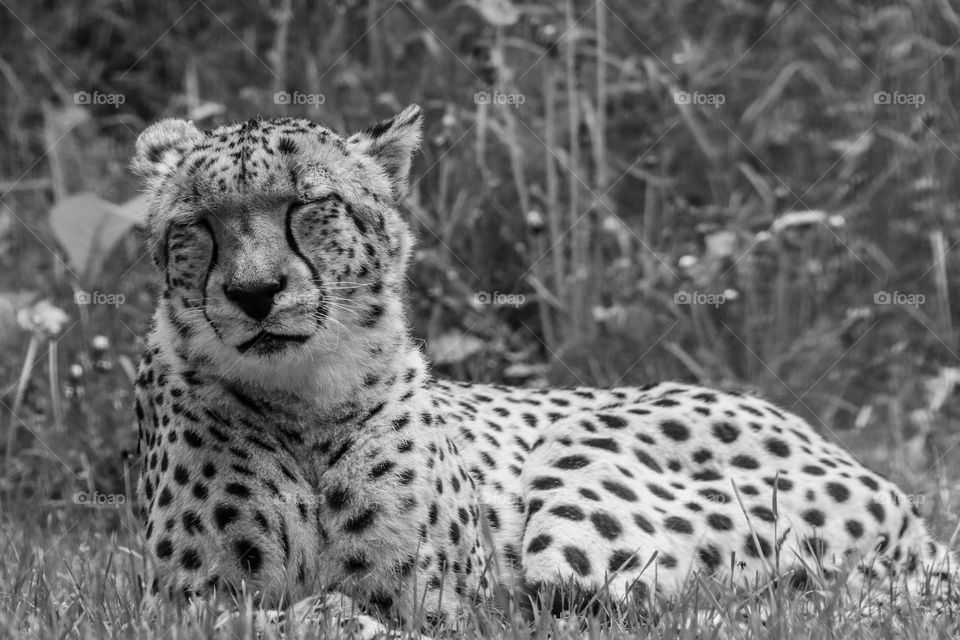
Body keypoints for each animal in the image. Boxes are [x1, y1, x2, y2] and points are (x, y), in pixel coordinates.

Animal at [133, 105, 952, 632]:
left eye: (308, 205)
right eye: (197, 224)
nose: (254, 293)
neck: (301, 400)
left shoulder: (450, 608)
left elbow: (371, 615)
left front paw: (332, 614)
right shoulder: (177, 605)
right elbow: (248, 617)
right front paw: (319, 614)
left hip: (581, 485)